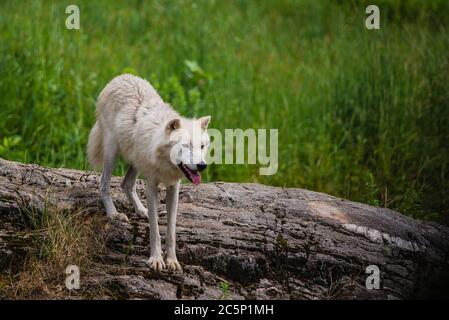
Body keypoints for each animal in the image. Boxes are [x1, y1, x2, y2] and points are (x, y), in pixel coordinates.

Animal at [89, 74, 212, 272]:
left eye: (202, 146)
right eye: (186, 146)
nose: (202, 166)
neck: (166, 163)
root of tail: (120, 77)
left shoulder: (173, 187)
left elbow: (171, 230)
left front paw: (172, 261)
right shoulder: (152, 185)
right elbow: (155, 229)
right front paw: (156, 259)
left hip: (137, 162)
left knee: (126, 184)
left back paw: (141, 210)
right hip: (112, 152)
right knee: (104, 184)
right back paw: (114, 214)